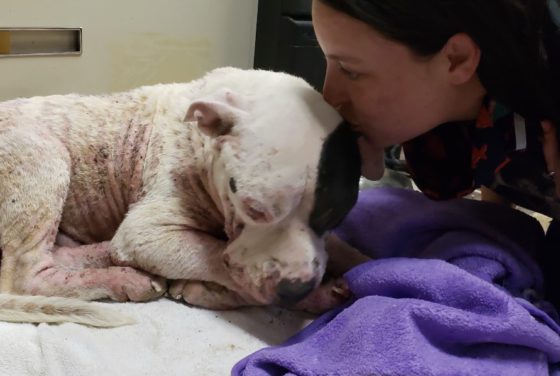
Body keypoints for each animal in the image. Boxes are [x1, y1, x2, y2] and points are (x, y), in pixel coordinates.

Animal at [0, 67, 360, 326]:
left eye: (337, 214)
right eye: (253, 209)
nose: (295, 287)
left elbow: (343, 250)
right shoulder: (147, 234)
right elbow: (220, 259)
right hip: (43, 157)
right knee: (28, 277)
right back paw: (120, 277)